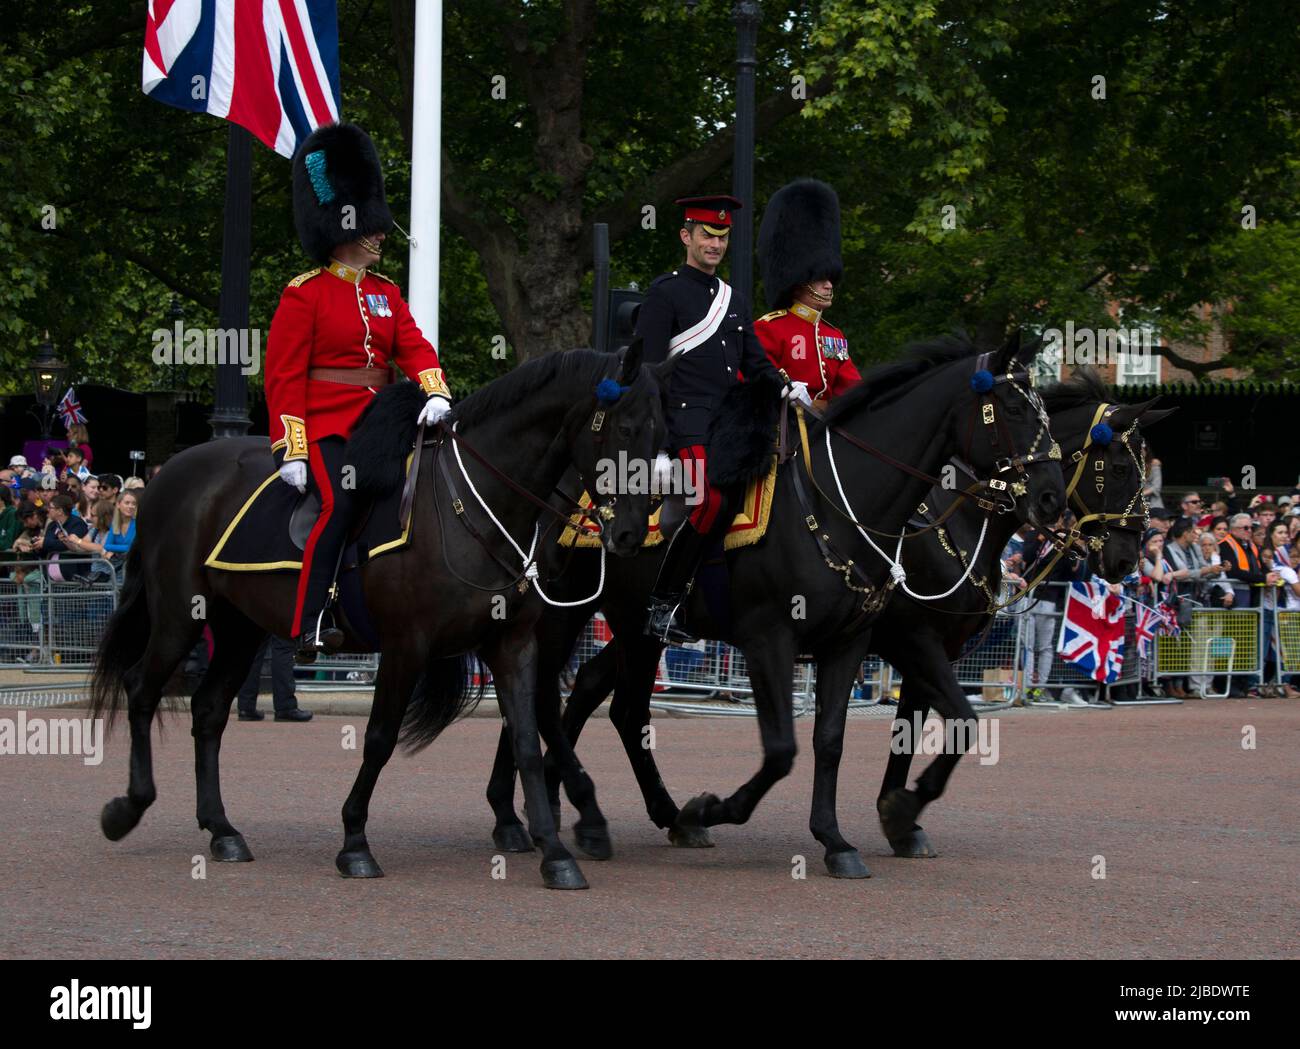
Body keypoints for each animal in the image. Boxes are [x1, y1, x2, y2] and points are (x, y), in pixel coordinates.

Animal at [91, 348, 660, 889]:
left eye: (662, 433)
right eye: (625, 429)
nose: (633, 534)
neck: (474, 506)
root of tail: (170, 471)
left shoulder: (513, 644)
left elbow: (524, 741)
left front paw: (555, 853)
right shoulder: (407, 645)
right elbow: (381, 737)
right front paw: (354, 843)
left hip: (239, 628)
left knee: (208, 710)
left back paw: (222, 830)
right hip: (181, 615)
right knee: (141, 688)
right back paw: (128, 807)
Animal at [488, 332, 1066, 873]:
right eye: (1014, 408)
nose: (1051, 499)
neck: (841, 507)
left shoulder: (855, 643)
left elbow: (840, 738)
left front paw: (847, 835)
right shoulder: (776, 639)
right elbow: (784, 749)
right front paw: (714, 808)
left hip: (635, 628)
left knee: (616, 708)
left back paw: (614, 814)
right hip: (564, 612)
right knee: (547, 696)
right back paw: (538, 815)